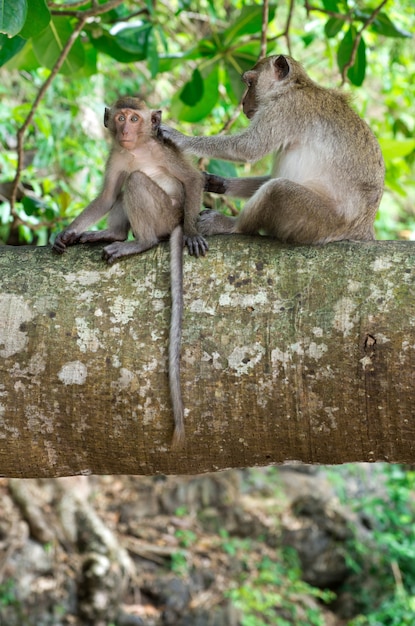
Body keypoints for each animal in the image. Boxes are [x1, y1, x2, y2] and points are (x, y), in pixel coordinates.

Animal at [52, 95, 208, 446]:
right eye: (121, 117)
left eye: (135, 119)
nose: (124, 130)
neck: (136, 149)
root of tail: (175, 222)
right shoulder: (117, 155)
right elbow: (109, 195)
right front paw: (66, 234)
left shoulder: (162, 150)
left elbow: (193, 179)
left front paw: (193, 234)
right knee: (126, 183)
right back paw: (114, 235)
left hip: (166, 213)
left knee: (136, 181)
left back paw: (142, 242)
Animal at [163, 54, 386, 243]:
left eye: (250, 83)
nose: (243, 103)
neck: (293, 86)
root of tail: (363, 228)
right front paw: (217, 182)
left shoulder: (285, 108)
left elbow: (248, 149)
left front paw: (181, 139)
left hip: (323, 223)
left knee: (277, 190)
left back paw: (233, 225)